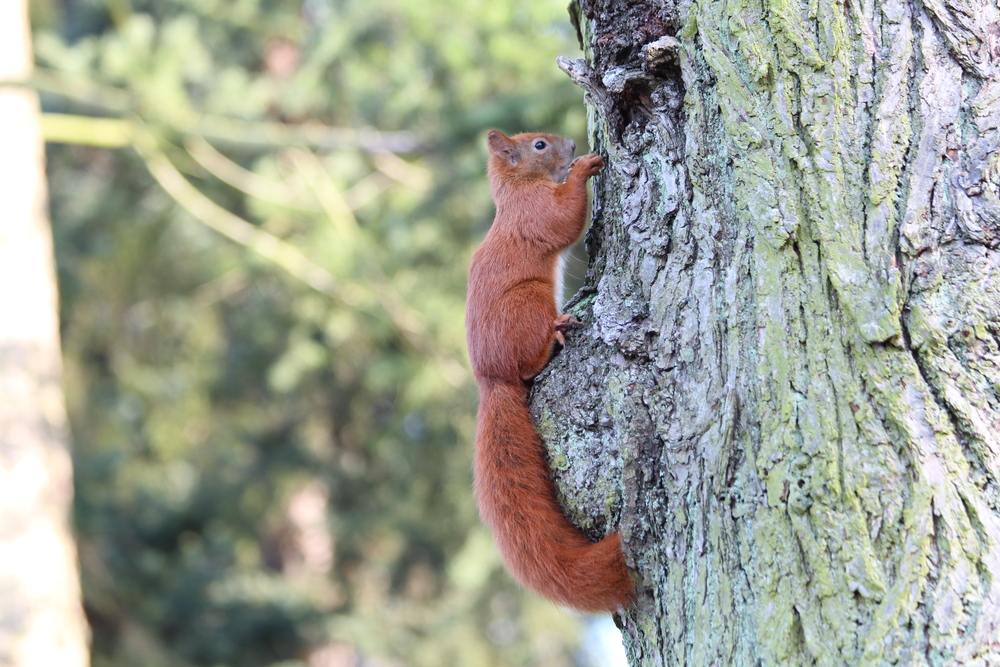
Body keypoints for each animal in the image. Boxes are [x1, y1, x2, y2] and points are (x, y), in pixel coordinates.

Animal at [466, 132, 632, 616]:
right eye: (540, 145)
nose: (573, 143)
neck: (516, 190)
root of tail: (491, 380)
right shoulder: (535, 212)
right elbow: (562, 220)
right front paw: (584, 168)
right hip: (530, 303)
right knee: (528, 365)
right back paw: (556, 334)